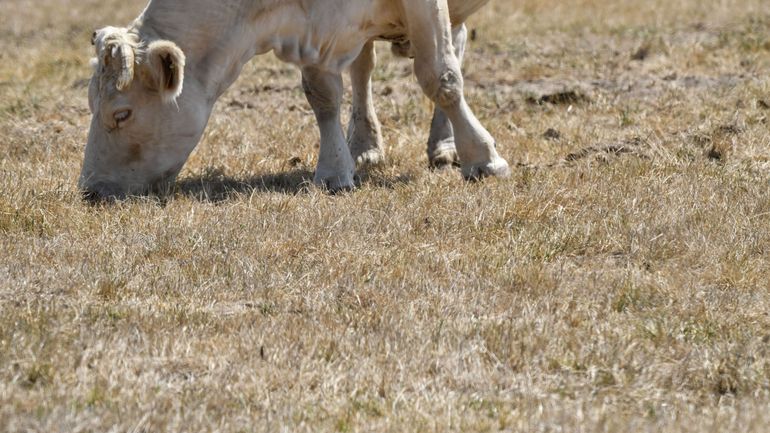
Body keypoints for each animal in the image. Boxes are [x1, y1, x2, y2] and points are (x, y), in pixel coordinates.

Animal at [79, 0, 510, 199]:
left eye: (122, 114)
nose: (90, 190)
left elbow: (442, 77)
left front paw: (483, 157)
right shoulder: (312, 30)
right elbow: (323, 97)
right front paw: (335, 170)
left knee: (455, 44)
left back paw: (445, 145)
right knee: (364, 68)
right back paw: (364, 146)